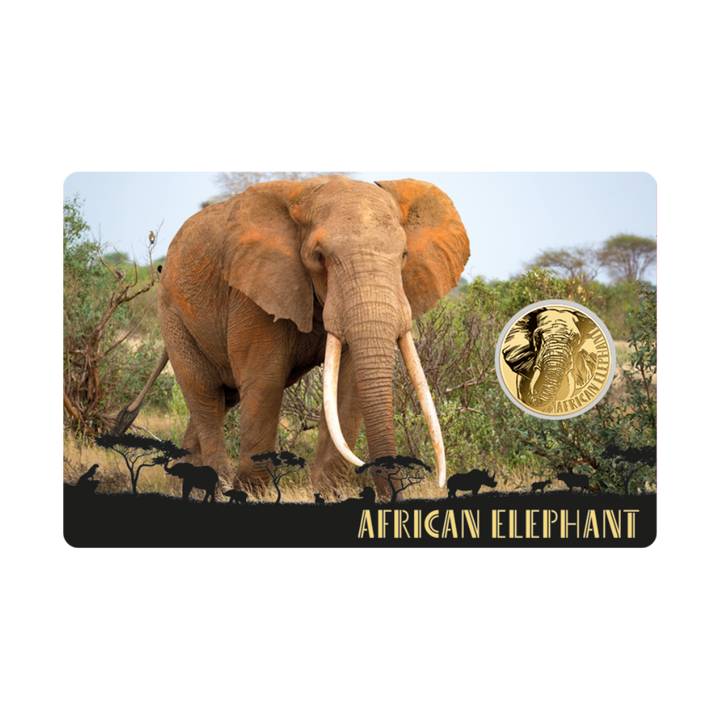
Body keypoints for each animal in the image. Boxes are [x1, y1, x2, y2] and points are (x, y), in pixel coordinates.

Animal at [120, 175, 469, 500]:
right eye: (319, 256)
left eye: (404, 255)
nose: (391, 496)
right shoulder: (254, 289)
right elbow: (265, 379)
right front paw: (252, 493)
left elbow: (349, 385)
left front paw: (327, 494)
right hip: (173, 315)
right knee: (204, 395)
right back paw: (219, 488)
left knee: (222, 399)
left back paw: (181, 486)